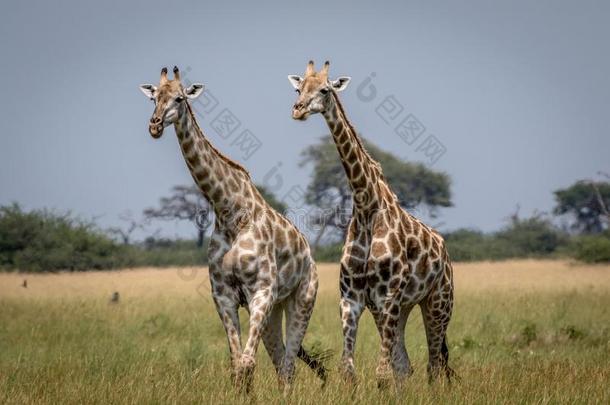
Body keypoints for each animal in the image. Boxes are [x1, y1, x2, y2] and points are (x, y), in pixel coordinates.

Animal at [140, 66, 326, 392]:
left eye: (179, 98)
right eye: (153, 98)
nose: (155, 125)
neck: (230, 213)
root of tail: (308, 252)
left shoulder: (261, 291)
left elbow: (247, 362)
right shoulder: (223, 295)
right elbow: (237, 365)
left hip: (301, 299)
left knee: (289, 363)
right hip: (275, 309)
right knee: (281, 363)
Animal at [288, 61, 454, 386]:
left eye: (324, 90)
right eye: (298, 88)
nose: (297, 110)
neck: (367, 210)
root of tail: (445, 253)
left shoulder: (388, 295)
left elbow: (382, 374)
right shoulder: (352, 298)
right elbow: (350, 370)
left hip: (438, 302)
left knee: (434, 365)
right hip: (400, 308)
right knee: (406, 364)